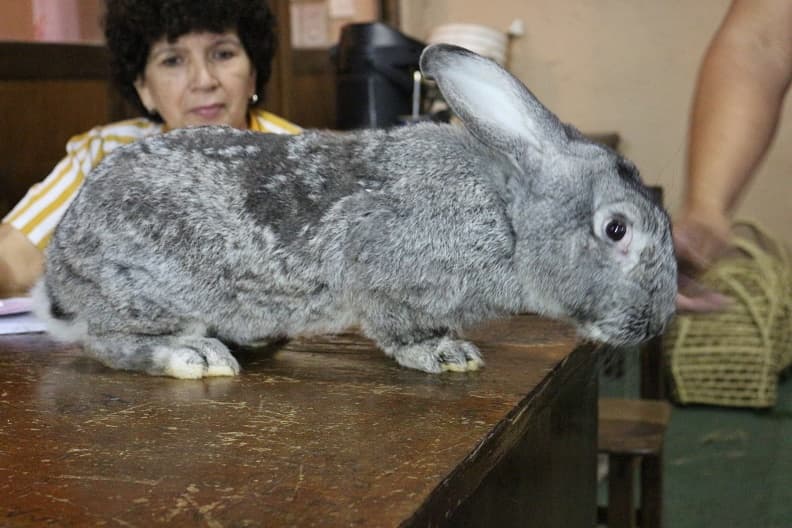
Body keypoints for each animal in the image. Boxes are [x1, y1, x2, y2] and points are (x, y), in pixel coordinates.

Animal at [32, 43, 677, 379]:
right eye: (616, 229)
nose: (655, 324)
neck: (509, 219)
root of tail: (59, 264)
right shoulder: (380, 276)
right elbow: (398, 328)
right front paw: (444, 354)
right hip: (148, 296)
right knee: (108, 343)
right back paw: (194, 356)